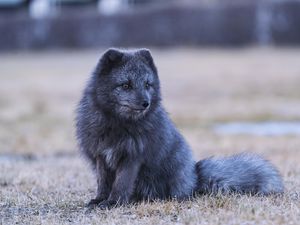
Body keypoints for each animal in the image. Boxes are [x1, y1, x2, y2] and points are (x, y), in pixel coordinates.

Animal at [75, 48, 284, 209]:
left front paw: (113, 203)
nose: (145, 103)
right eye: (126, 85)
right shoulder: (101, 155)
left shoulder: (132, 157)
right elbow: (103, 183)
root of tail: (195, 177)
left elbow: (121, 184)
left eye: (147, 84)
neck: (118, 124)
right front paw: (100, 200)